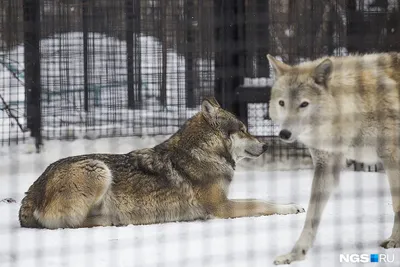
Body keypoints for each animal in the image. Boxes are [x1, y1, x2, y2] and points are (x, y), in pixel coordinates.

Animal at [19, 98, 304, 230]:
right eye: (243, 130)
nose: (266, 146)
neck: (203, 152)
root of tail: (30, 192)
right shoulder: (221, 207)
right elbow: (262, 203)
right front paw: (291, 206)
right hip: (98, 169)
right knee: (74, 223)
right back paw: (112, 220)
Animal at [268, 52, 400, 266]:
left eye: (304, 104)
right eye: (282, 103)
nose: (284, 133)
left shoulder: (392, 158)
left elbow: (397, 205)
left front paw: (395, 240)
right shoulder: (326, 164)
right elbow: (311, 216)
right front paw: (295, 254)